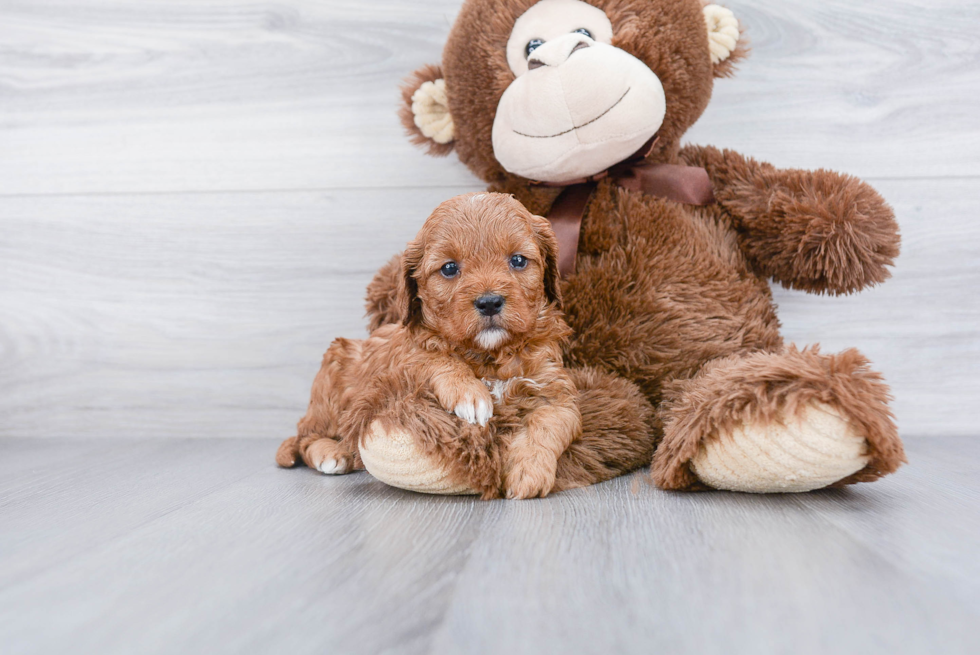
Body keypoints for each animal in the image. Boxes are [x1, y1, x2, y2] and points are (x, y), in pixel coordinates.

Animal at [274, 192, 580, 500]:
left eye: (518, 260)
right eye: (449, 268)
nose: (489, 302)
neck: (488, 354)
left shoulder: (554, 390)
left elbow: (548, 426)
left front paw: (528, 473)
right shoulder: (403, 361)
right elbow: (433, 357)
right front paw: (468, 393)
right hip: (331, 381)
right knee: (306, 437)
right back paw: (332, 454)